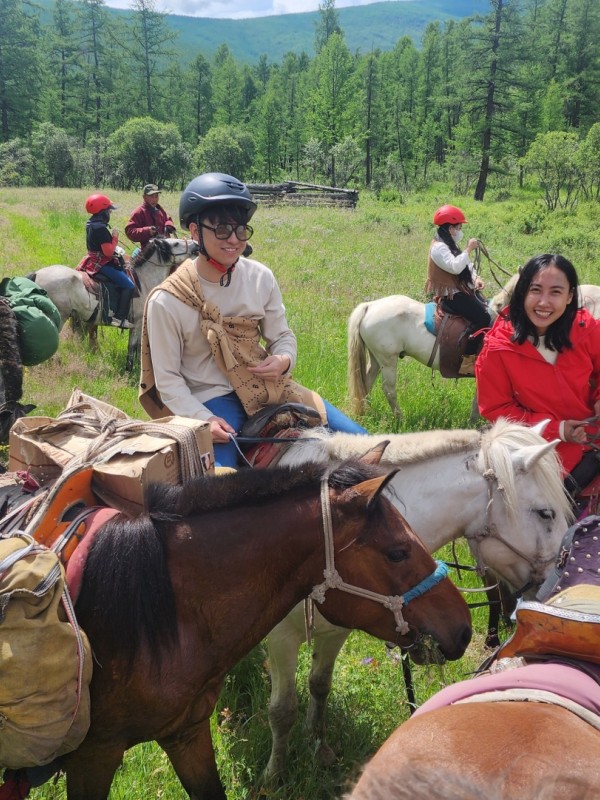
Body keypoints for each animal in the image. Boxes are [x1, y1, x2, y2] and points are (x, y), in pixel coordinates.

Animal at [27, 236, 197, 370]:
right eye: (175, 243)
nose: (196, 244)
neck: (143, 281)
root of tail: (37, 274)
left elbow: (140, 346)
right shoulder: (137, 323)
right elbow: (132, 347)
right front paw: (129, 370)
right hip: (58, 317)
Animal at [62, 460, 474, 796]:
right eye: (398, 552)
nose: (464, 630)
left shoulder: (186, 733)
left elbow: (318, 688)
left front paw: (318, 748)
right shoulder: (94, 754)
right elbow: (283, 710)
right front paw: (275, 776)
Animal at [262, 418, 572, 780]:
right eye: (546, 513)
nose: (556, 583)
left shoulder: (336, 631)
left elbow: (319, 685)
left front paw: (319, 746)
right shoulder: (281, 638)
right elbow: (282, 710)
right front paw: (274, 774)